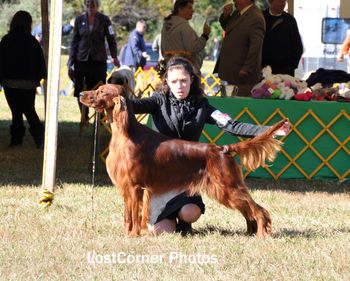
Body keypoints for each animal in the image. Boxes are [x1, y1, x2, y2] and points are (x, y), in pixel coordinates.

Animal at [80, 83, 286, 236]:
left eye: (101, 91)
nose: (81, 93)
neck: (126, 133)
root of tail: (223, 149)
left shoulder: (134, 187)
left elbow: (133, 216)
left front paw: (131, 235)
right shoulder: (127, 187)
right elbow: (127, 216)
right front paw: (126, 234)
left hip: (229, 187)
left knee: (258, 209)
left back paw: (261, 234)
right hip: (227, 190)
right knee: (248, 210)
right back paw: (250, 232)